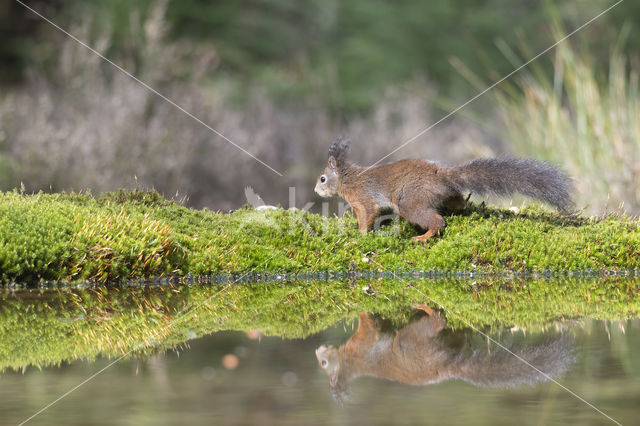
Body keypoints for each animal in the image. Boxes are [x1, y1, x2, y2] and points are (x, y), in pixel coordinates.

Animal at [316, 138, 568, 241]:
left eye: (322, 179)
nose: (316, 191)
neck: (347, 179)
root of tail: (441, 175)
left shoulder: (363, 199)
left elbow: (367, 215)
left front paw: (359, 234)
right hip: (443, 195)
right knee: (456, 202)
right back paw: (463, 205)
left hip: (409, 202)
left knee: (437, 221)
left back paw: (423, 237)